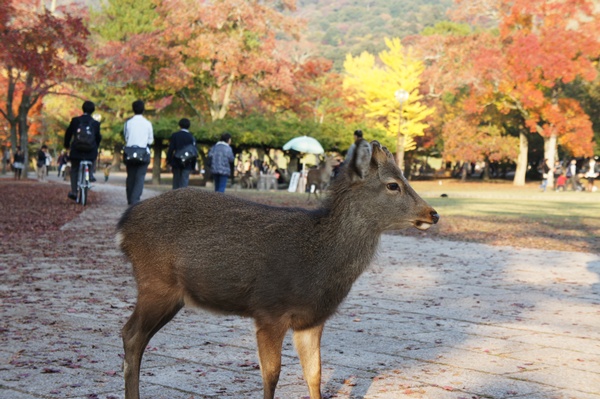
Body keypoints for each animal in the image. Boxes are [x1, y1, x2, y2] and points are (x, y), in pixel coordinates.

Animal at [117, 141, 438, 399]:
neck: (320, 263)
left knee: (136, 336)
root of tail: (123, 226)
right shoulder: (269, 311)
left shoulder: (311, 319)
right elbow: (272, 375)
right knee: (131, 334)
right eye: (393, 184)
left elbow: (314, 373)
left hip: (171, 295)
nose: (433, 213)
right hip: (156, 283)